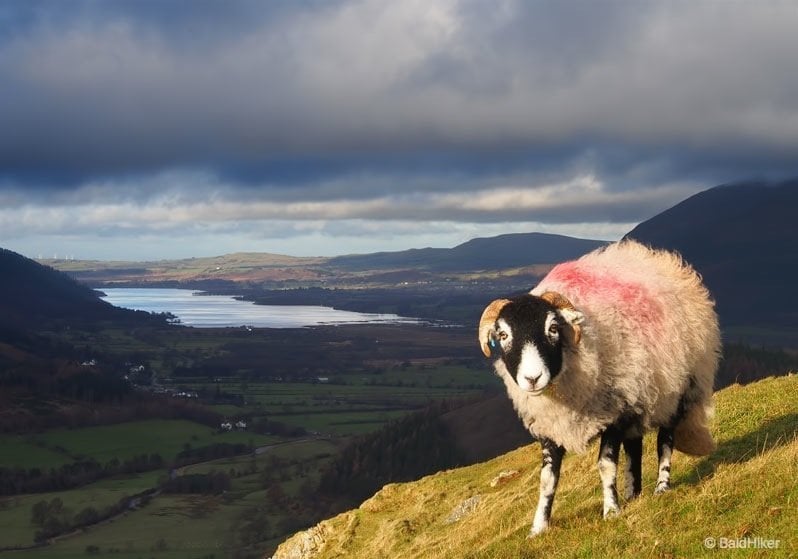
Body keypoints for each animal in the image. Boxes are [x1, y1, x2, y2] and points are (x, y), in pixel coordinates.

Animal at [478, 241, 720, 540]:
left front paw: (611, 511)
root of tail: (668, 263)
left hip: (679, 389)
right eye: (503, 335)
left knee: (665, 440)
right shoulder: (550, 425)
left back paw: (661, 487)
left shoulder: (613, 413)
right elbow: (547, 480)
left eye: (553, 328)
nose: (532, 378)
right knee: (634, 448)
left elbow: (606, 465)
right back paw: (633, 494)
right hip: (638, 398)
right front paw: (538, 528)